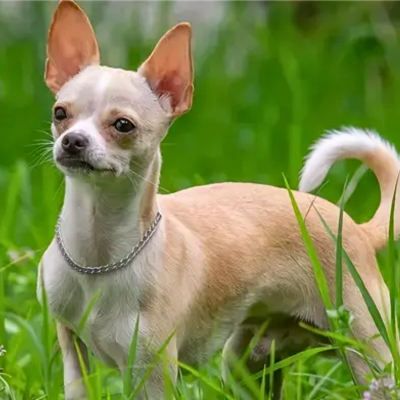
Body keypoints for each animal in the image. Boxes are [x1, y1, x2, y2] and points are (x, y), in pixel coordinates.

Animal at [37, 0, 396, 400]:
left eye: (123, 126)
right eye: (60, 113)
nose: (73, 140)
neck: (99, 257)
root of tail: (358, 229)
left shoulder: (152, 372)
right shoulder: (73, 351)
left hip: (369, 356)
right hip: (248, 362)